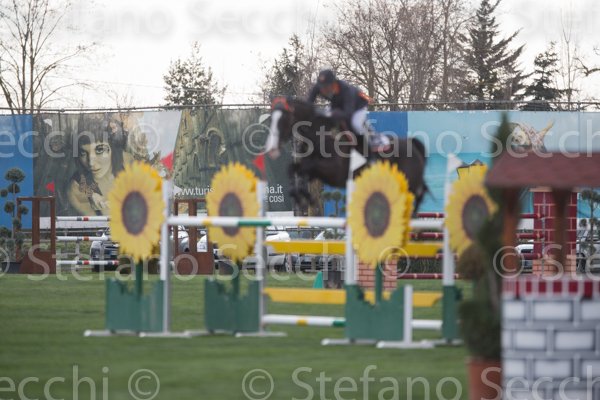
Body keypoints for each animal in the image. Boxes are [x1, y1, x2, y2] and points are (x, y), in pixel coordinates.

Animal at [265, 96, 428, 212]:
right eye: (272, 119)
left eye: (284, 118)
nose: (272, 148)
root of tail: (412, 144)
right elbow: (294, 170)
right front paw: (302, 197)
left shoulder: (333, 171)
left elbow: (306, 168)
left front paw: (305, 198)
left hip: (408, 180)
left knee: (417, 195)